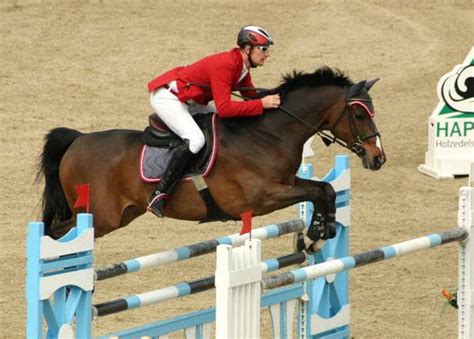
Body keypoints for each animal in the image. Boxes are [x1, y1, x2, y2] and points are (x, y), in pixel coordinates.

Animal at [37, 66, 386, 243]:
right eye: (359, 115)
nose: (378, 157)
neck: (267, 134)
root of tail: (78, 142)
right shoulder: (261, 198)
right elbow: (316, 192)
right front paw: (317, 232)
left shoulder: (288, 182)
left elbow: (325, 189)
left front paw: (319, 232)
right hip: (100, 216)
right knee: (57, 232)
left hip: (123, 214)